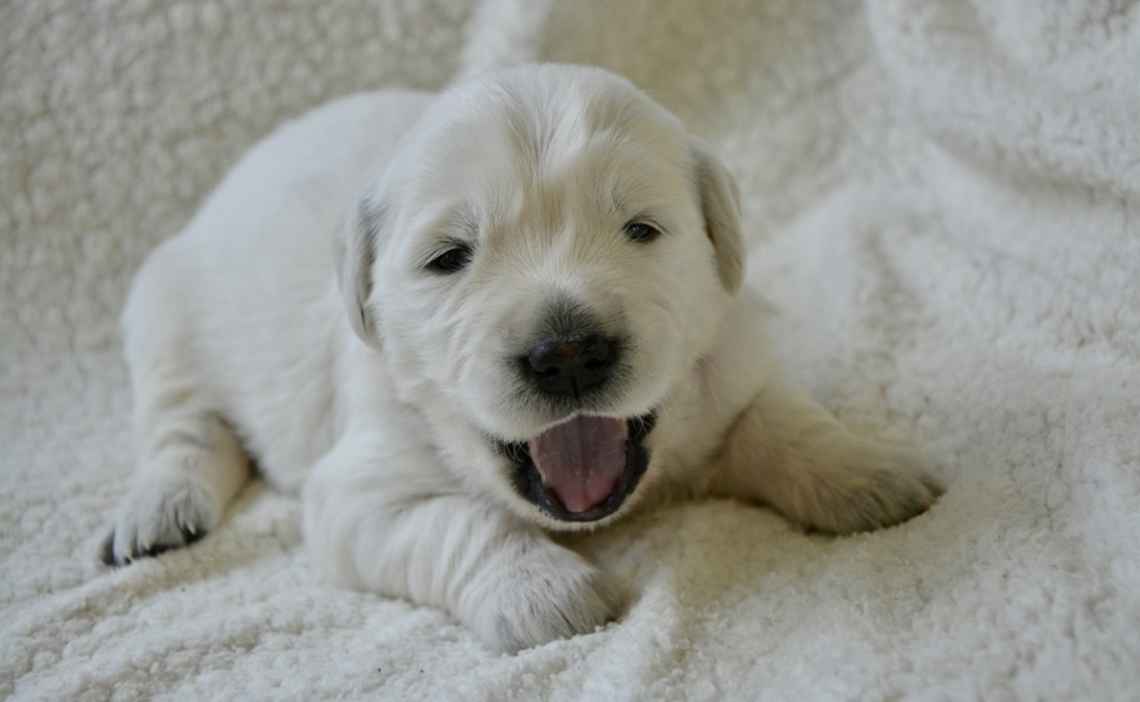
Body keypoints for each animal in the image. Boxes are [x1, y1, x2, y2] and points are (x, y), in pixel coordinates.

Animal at [104, 64, 943, 651]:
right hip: (161, 310)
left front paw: (868, 471)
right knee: (183, 427)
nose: (567, 353)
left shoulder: (729, 367)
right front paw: (543, 592)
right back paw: (159, 511)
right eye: (448, 257)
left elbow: (783, 421)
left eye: (642, 230)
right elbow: (461, 521)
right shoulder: (357, 493)